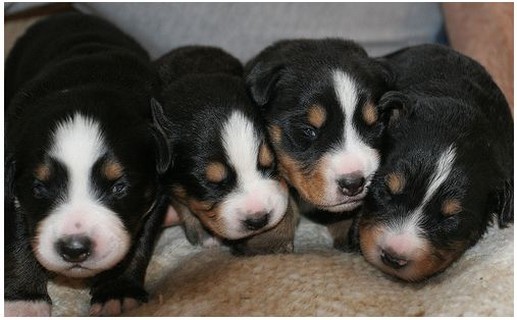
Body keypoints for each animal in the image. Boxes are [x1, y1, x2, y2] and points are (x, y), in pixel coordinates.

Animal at [5, 11, 170, 316]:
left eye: (119, 187)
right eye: (39, 188)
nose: (74, 248)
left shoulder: (157, 190)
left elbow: (139, 243)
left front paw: (117, 291)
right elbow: (16, 240)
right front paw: (23, 303)